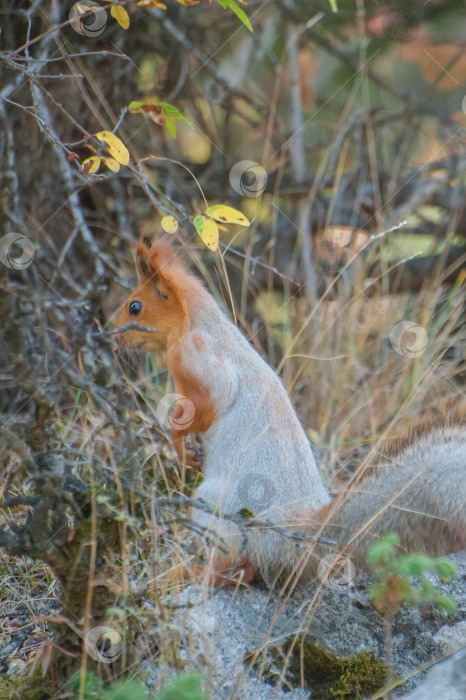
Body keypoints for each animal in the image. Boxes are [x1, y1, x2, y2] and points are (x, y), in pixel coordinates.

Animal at [114, 238, 466, 588]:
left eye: (135, 307)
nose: (114, 335)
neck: (197, 323)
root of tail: (293, 539)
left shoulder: (201, 363)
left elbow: (203, 408)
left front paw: (178, 442)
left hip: (215, 506)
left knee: (230, 566)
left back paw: (189, 573)